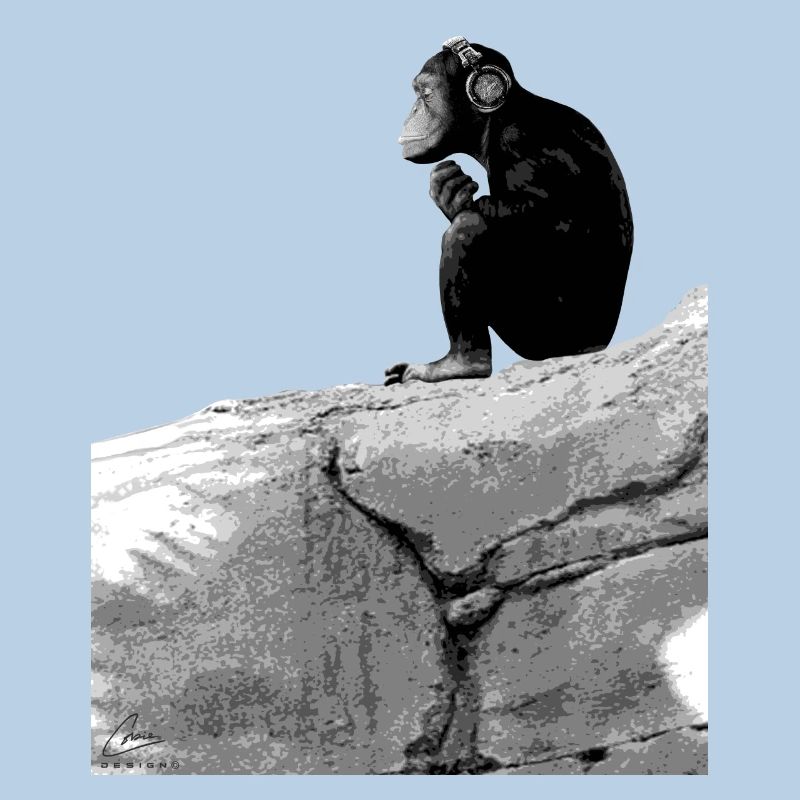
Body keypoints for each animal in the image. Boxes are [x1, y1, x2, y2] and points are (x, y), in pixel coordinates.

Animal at [384, 37, 633, 386]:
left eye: (425, 93)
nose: (414, 110)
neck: (494, 123)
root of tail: (600, 344)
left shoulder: (519, 138)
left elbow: (551, 215)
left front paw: (454, 197)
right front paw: (448, 189)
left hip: (545, 332)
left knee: (469, 230)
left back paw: (461, 363)